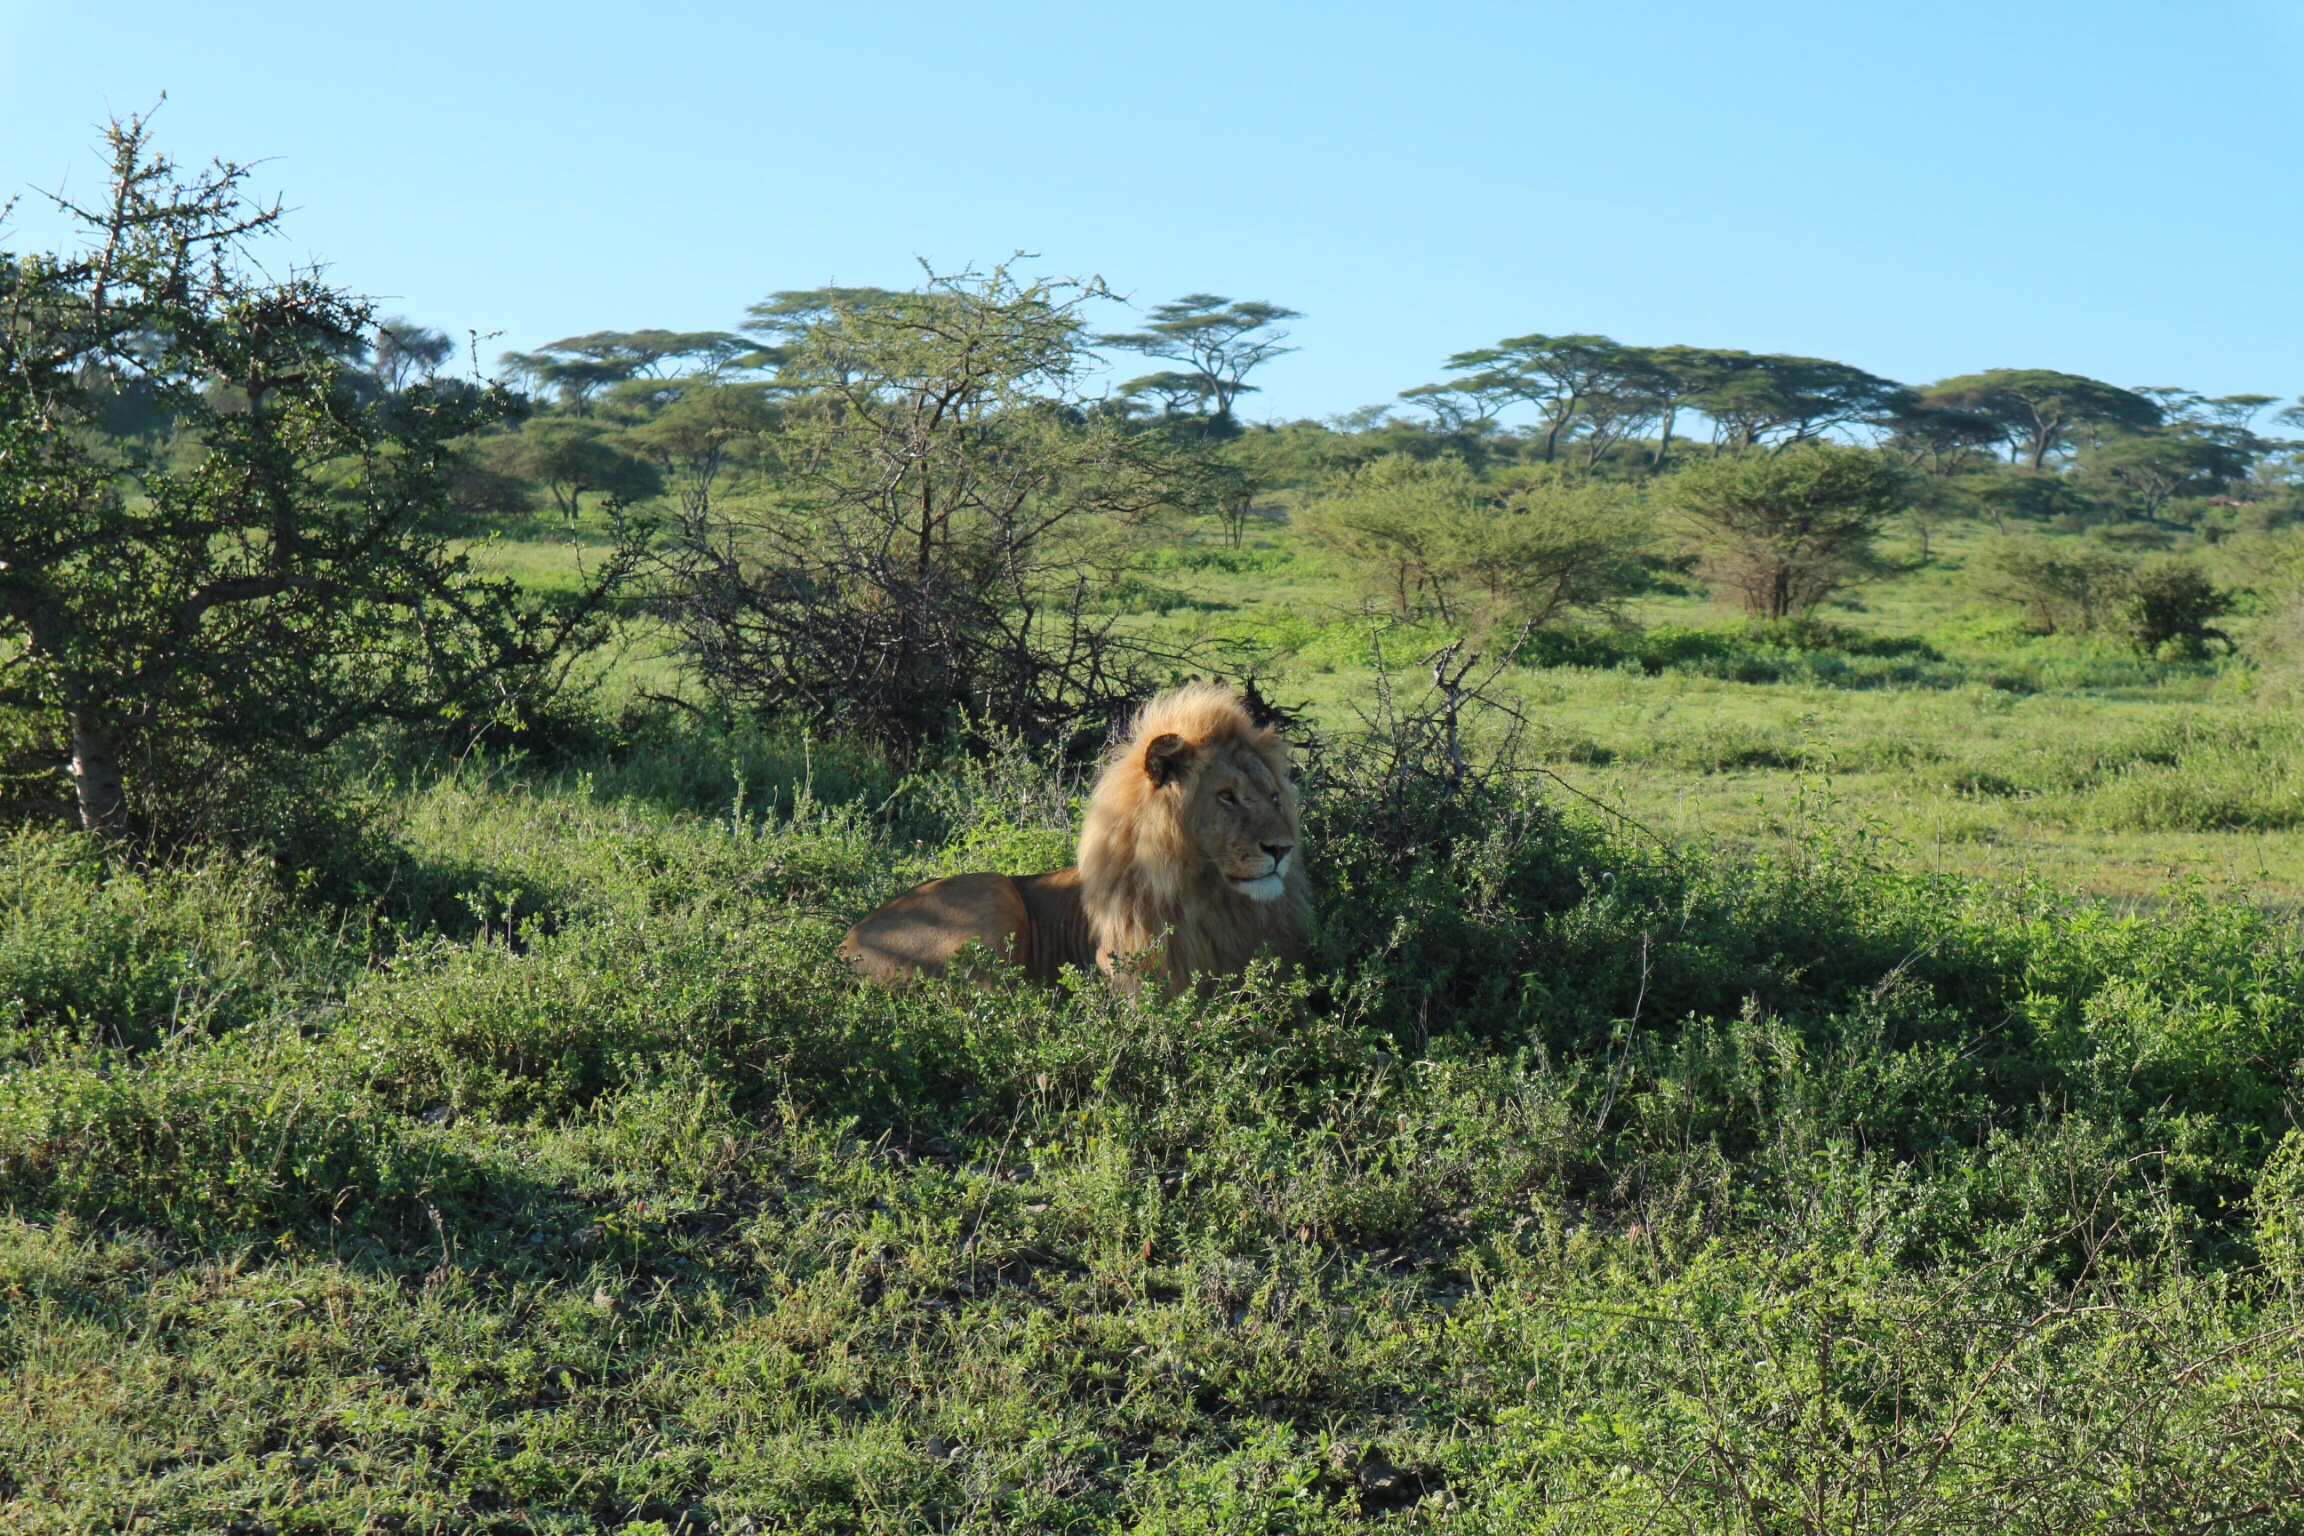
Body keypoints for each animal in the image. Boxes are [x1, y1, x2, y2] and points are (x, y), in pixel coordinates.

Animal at [840, 682, 1308, 994]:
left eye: (1274, 797)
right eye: (1227, 796)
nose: (1281, 850)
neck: (1210, 901)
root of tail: (844, 947)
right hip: (992, 892)